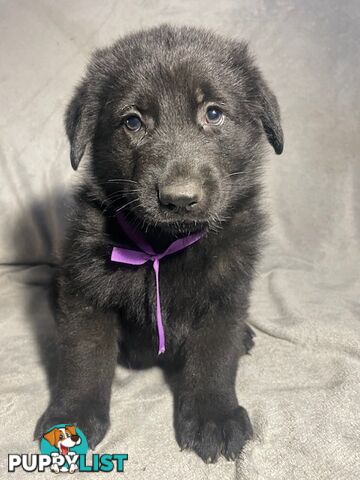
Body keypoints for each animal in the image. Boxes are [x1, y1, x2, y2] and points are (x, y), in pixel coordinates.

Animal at [36, 24, 284, 464]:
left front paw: (214, 416)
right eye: (133, 122)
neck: (165, 246)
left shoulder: (226, 294)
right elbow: (85, 357)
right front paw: (73, 418)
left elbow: (214, 355)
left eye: (213, 113)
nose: (178, 198)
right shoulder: (84, 293)